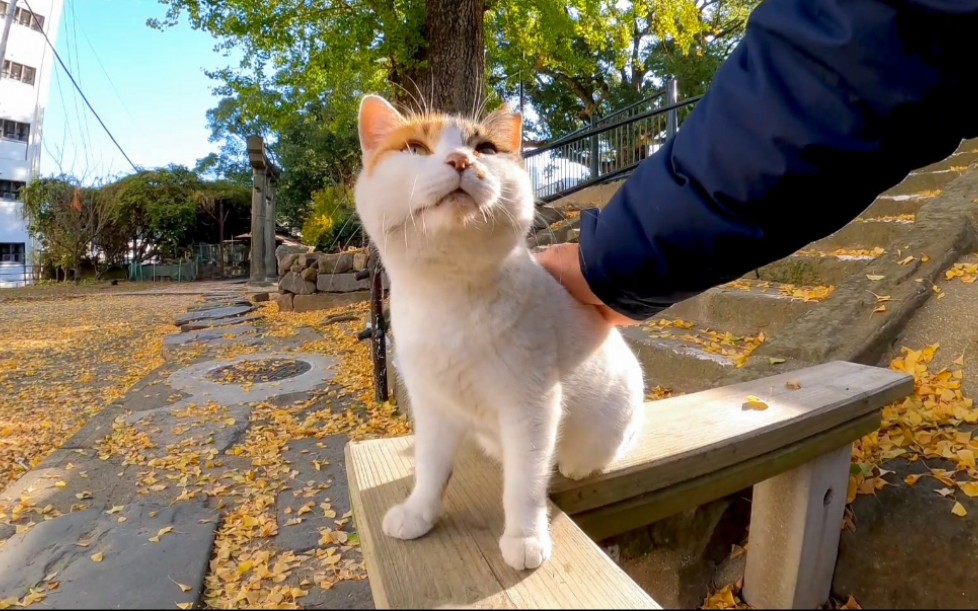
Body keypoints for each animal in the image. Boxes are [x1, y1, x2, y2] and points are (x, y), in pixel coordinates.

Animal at [354, 93, 644, 572]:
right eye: (415, 148)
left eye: (485, 149)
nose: (460, 160)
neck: (448, 300)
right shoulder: (431, 405)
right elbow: (429, 469)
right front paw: (418, 514)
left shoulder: (531, 407)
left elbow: (524, 484)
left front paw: (525, 538)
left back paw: (576, 464)